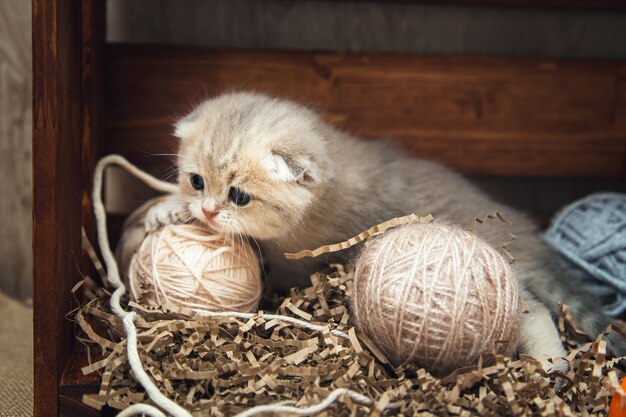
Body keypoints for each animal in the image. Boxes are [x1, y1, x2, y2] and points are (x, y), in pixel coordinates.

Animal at [139, 90, 620, 364]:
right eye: (196, 181)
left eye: (239, 196)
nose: (208, 210)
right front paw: (172, 209)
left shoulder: (288, 252)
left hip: (503, 271)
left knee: (535, 311)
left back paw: (551, 363)